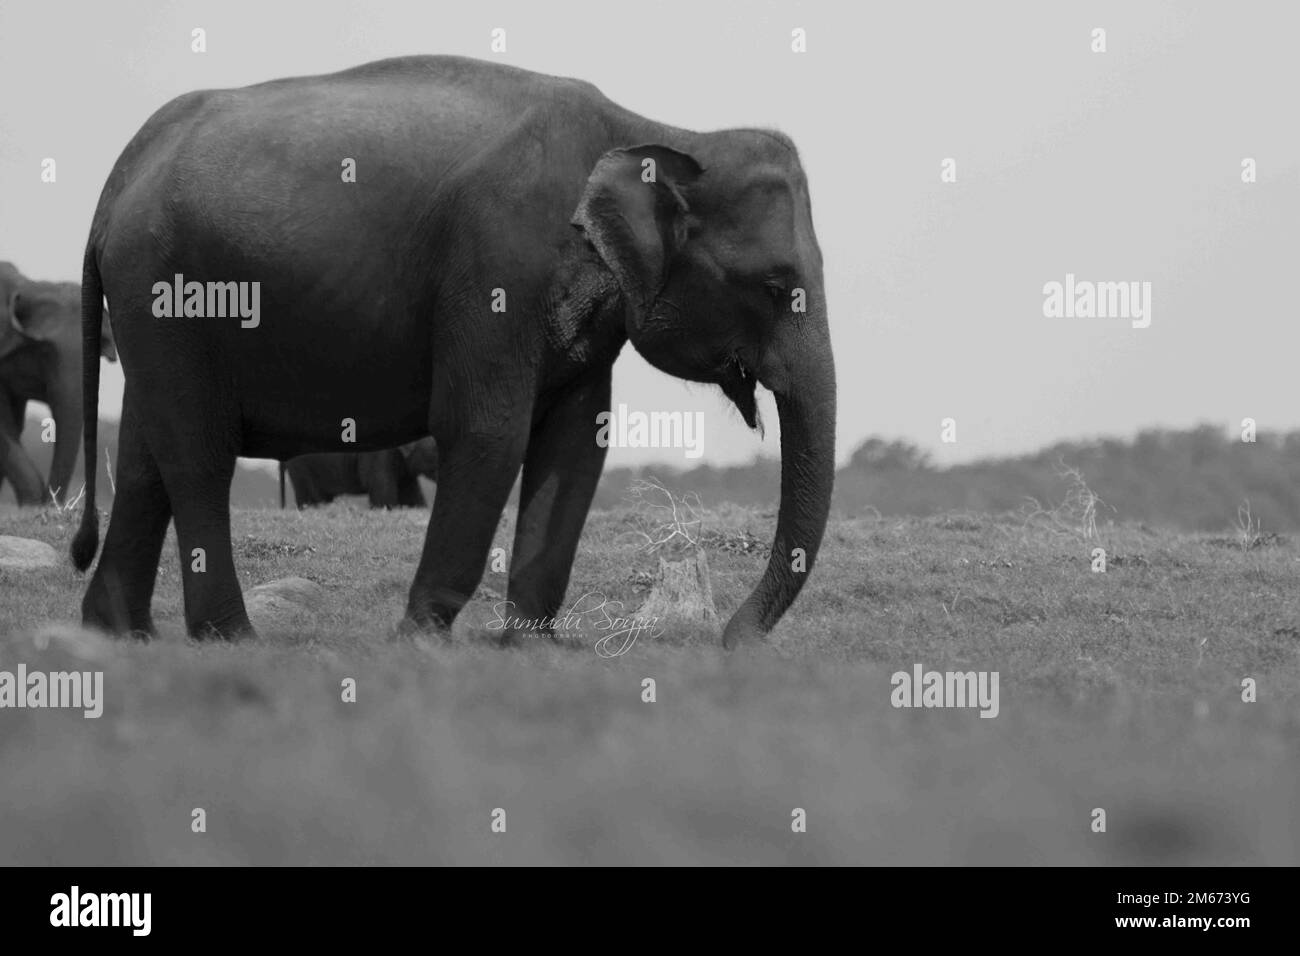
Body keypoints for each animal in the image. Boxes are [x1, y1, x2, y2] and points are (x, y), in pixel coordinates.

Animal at [71, 54, 837, 650]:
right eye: (776, 287)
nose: (731, 638)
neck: (655, 131)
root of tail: (115, 184)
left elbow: (577, 444)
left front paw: (532, 650)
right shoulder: (496, 262)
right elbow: (487, 431)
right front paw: (422, 642)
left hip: (153, 311)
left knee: (145, 456)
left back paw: (118, 634)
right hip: (169, 292)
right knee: (197, 455)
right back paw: (231, 639)